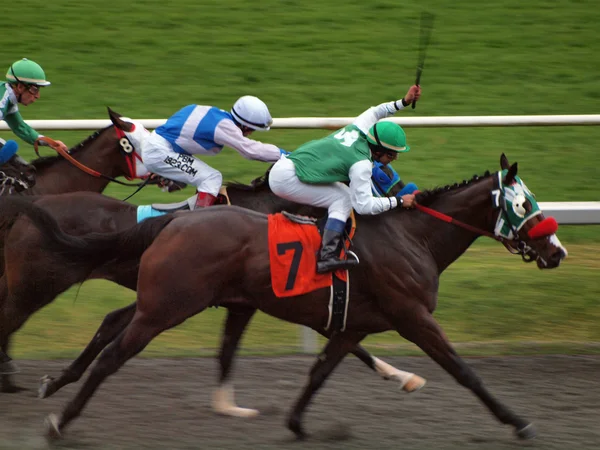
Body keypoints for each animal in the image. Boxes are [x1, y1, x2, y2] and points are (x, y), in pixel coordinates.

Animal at [5, 154, 568, 440]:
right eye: (524, 204)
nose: (557, 250)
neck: (413, 237)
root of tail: (176, 220)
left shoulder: (354, 323)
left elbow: (320, 370)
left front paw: (297, 422)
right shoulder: (412, 315)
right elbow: (463, 370)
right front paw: (517, 421)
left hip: (161, 300)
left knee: (110, 328)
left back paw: (54, 389)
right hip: (161, 305)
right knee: (107, 354)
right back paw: (58, 419)